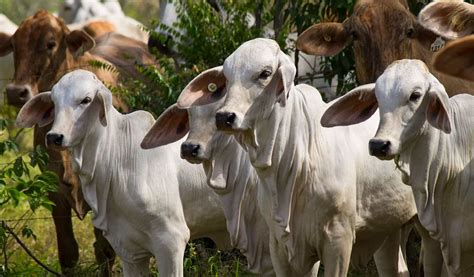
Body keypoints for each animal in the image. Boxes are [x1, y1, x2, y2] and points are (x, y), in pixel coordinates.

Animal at [0, 9, 156, 274]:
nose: (15, 92)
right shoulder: (54, 194)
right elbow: (68, 253)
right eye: (13, 44)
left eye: (51, 43)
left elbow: (104, 251)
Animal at [175, 37, 418, 274]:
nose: (225, 117)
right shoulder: (280, 244)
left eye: (265, 73)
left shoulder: (338, 239)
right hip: (390, 229)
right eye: (226, 77)